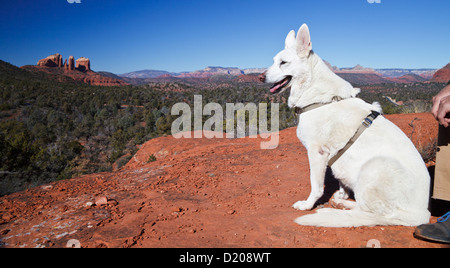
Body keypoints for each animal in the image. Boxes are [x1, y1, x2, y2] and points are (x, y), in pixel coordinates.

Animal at [262, 24, 430, 227]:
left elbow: (316, 186)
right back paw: (342, 203)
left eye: (283, 63)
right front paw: (342, 194)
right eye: (274, 61)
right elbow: (340, 180)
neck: (316, 94)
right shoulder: (335, 157)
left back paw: (332, 211)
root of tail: (421, 214)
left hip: (376, 166)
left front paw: (307, 205)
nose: (260, 77)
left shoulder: (317, 152)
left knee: (371, 214)